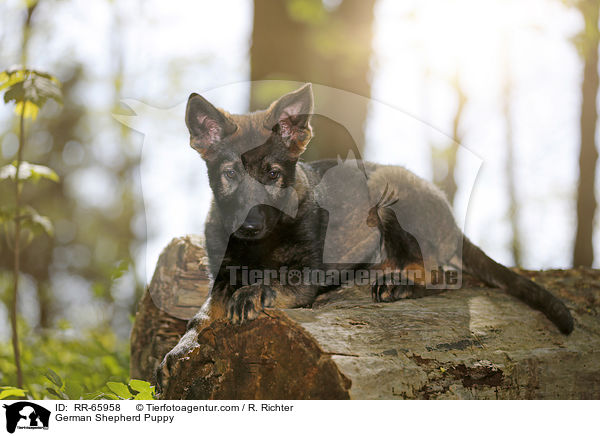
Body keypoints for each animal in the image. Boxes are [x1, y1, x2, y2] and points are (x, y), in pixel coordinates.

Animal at [177, 84, 572, 338]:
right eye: (230, 174)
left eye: (273, 174)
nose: (249, 225)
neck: (260, 244)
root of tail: (452, 221)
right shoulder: (222, 274)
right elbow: (204, 311)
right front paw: (181, 347)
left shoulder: (307, 273)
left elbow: (274, 280)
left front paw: (253, 292)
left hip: (388, 191)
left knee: (441, 277)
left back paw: (398, 284)